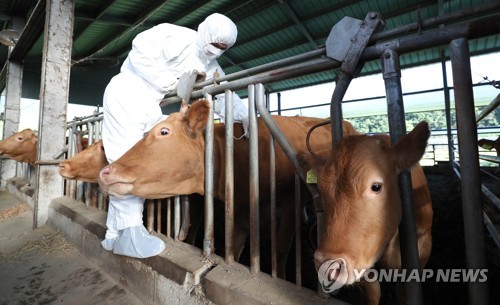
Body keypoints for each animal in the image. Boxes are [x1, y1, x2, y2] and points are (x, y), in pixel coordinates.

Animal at [97, 98, 358, 276]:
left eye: (163, 132)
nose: (105, 172)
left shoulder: (288, 206)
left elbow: (281, 251)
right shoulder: (235, 211)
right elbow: (227, 245)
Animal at [300, 121, 434, 304]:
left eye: (376, 186)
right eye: (321, 189)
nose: (328, 264)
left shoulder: (423, 244)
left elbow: (403, 291)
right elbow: (373, 291)